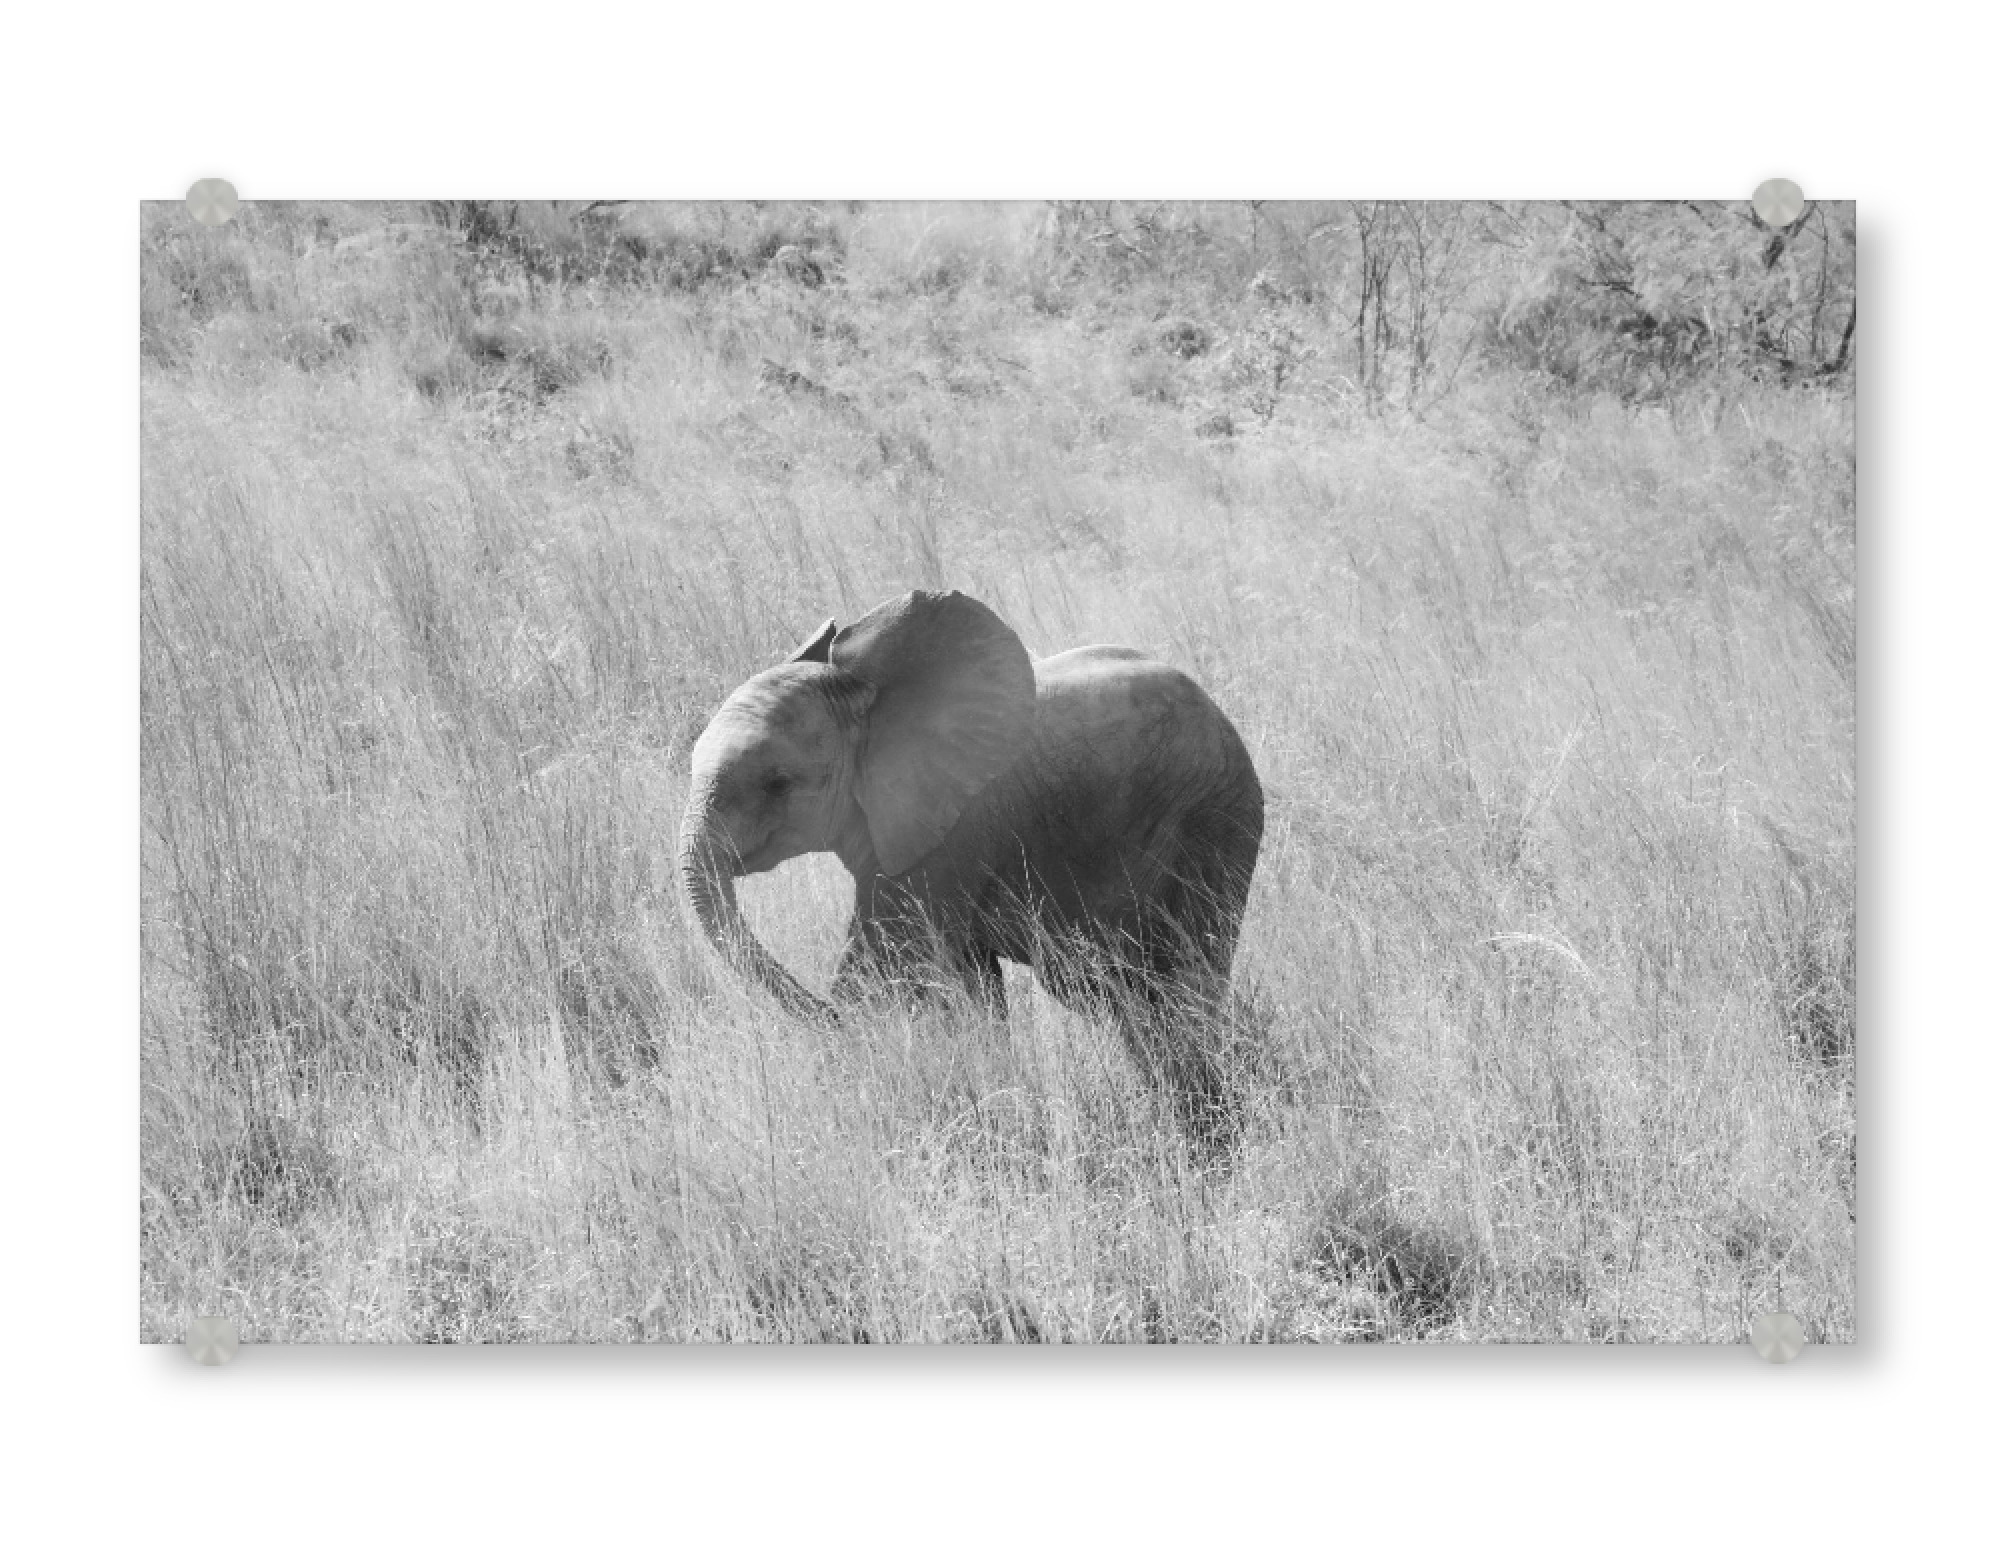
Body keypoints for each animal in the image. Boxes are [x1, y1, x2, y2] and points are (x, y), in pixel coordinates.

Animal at [677, 589, 1265, 1136]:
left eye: (777, 783)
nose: (831, 1020)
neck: (870, 707)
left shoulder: (951, 832)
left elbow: (887, 967)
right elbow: (971, 984)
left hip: (1214, 817)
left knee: (1186, 972)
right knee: (1119, 990)